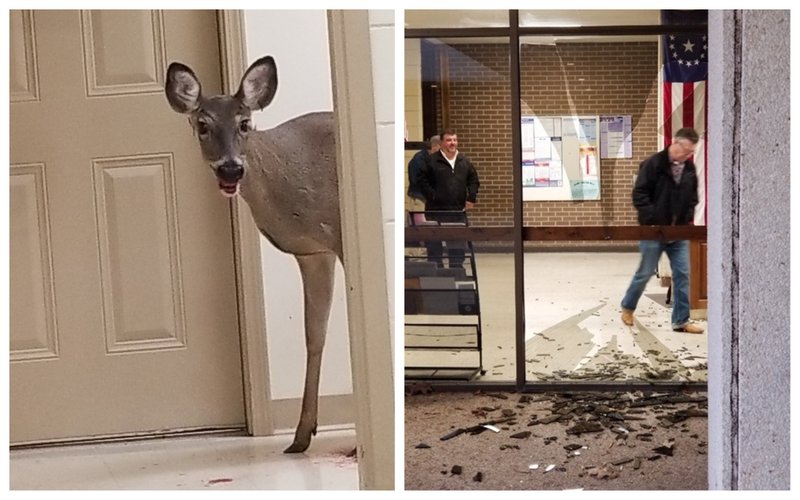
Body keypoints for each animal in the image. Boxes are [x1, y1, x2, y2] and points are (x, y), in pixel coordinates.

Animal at [167, 56, 342, 456]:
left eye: (245, 123)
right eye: (202, 124)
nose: (231, 168)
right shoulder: (314, 251)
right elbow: (315, 334)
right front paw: (301, 435)